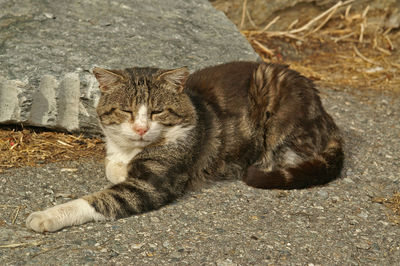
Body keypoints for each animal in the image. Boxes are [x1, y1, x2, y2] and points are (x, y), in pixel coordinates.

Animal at [25, 61, 344, 232]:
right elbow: (112, 169)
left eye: (157, 112)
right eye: (127, 111)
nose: (141, 128)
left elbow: (99, 199)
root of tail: (325, 114)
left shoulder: (151, 184)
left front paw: (46, 216)